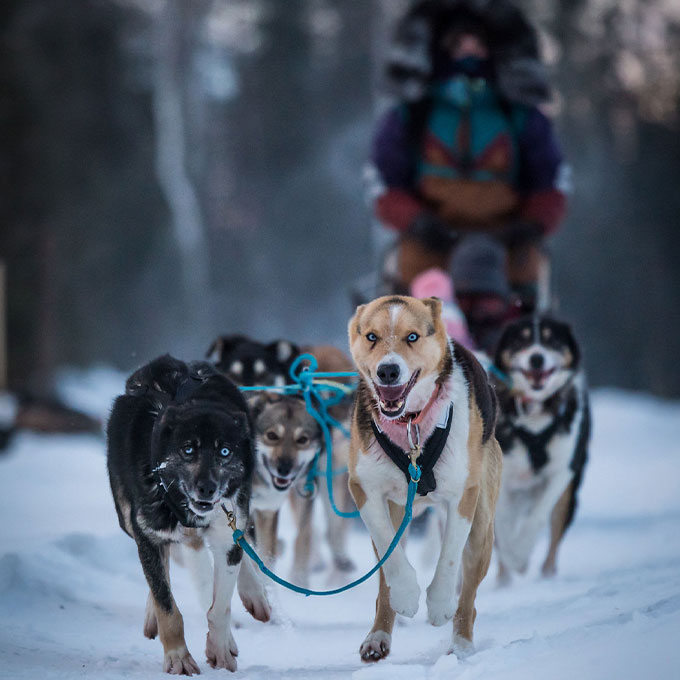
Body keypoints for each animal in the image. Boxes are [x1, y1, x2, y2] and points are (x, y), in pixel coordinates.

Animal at [107, 356, 270, 676]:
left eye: (224, 451)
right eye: (187, 449)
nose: (207, 488)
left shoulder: (225, 532)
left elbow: (219, 608)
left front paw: (220, 648)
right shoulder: (148, 535)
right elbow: (167, 606)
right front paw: (178, 657)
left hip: (238, 508)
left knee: (240, 545)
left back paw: (255, 594)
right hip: (128, 520)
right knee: (161, 572)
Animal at [348, 294, 502, 660]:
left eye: (413, 337)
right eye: (372, 336)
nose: (387, 370)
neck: (412, 425)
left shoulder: (463, 493)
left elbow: (449, 558)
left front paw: (440, 604)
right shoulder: (363, 488)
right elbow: (391, 558)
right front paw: (406, 595)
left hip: (483, 527)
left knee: (469, 594)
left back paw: (461, 643)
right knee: (384, 582)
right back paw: (378, 636)